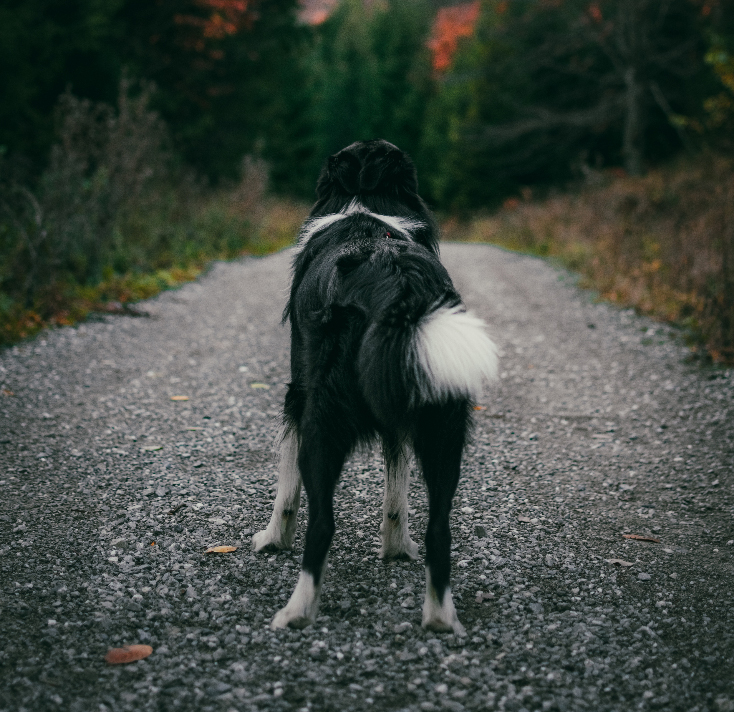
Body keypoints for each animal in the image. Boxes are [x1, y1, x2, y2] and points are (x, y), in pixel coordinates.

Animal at [254, 139, 500, 636]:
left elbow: (286, 485)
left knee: (322, 523)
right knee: (439, 529)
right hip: (444, 422)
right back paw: (439, 618)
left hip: (323, 417)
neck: (366, 207)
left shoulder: (297, 394)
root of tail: (398, 279)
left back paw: (296, 611)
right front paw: (395, 548)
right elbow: (396, 489)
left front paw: (272, 538)